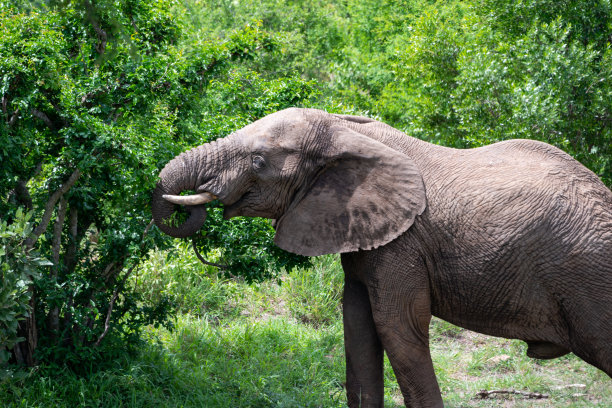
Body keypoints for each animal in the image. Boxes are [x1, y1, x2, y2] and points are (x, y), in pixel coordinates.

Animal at [152, 107, 612, 406]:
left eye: (259, 161)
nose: (186, 204)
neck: (344, 129)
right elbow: (357, 326)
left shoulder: (402, 243)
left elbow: (397, 326)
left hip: (588, 273)